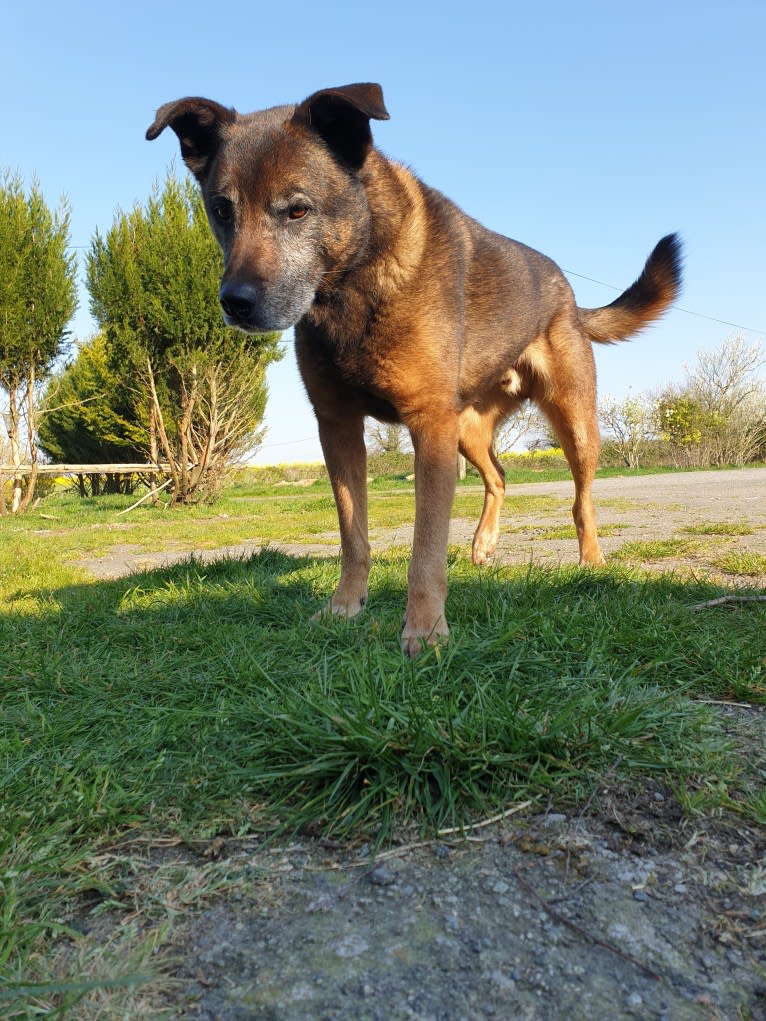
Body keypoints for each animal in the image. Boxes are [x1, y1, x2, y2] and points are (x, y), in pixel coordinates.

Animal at [148, 79, 682, 653]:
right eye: (222, 210)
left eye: (297, 211)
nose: (235, 303)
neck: (353, 282)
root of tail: (569, 294)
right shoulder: (338, 425)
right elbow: (353, 535)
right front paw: (344, 606)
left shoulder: (428, 425)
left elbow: (424, 548)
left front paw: (425, 629)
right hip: (467, 429)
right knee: (498, 476)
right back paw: (483, 545)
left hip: (572, 420)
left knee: (581, 501)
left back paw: (591, 562)